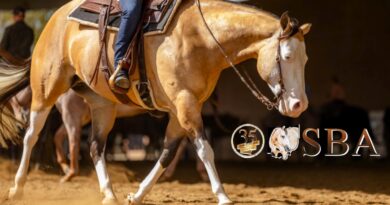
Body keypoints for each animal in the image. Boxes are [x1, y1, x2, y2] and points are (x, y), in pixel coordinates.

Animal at [0, 0, 310, 203]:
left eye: (305, 59)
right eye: (287, 56)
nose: (299, 106)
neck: (199, 37)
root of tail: (55, 18)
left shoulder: (182, 110)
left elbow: (167, 152)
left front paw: (136, 195)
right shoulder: (185, 106)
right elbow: (205, 150)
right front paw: (223, 196)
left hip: (102, 105)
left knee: (96, 146)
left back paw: (109, 193)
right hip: (47, 90)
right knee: (31, 135)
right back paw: (17, 188)